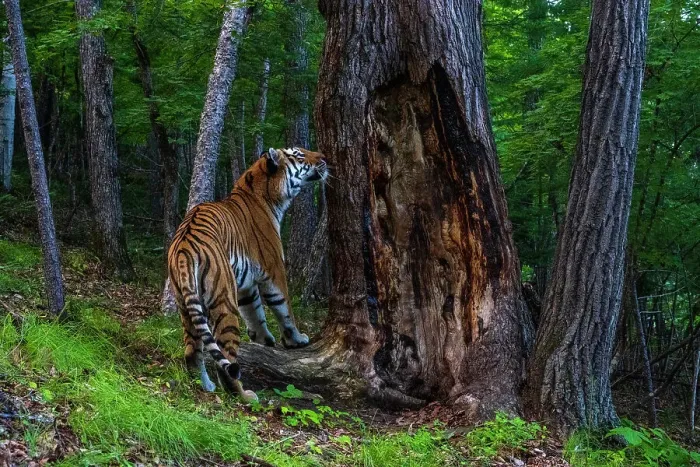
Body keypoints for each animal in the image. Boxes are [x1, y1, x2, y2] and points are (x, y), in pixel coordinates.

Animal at [167, 147, 328, 402]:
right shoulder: (274, 270)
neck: (267, 195)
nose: (324, 157)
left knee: (192, 350)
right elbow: (284, 309)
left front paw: (264, 339)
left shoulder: (245, 285)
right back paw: (244, 395)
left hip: (186, 302)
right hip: (224, 300)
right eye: (299, 154)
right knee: (227, 359)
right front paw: (296, 340)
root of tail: (184, 247)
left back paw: (205, 385)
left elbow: (255, 312)